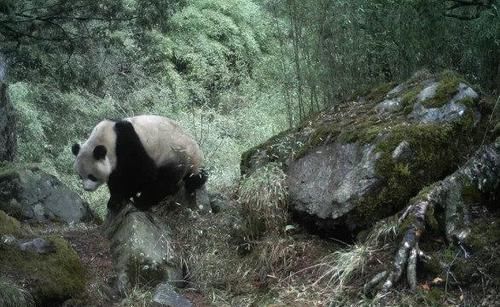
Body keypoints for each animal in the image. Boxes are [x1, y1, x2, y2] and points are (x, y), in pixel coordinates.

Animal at [71, 114, 207, 213]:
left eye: (92, 176)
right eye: (80, 176)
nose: (87, 188)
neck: (109, 137)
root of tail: (197, 156)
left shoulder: (127, 144)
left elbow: (143, 173)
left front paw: (118, 199)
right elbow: (116, 176)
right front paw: (115, 199)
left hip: (175, 155)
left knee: (165, 181)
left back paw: (142, 201)